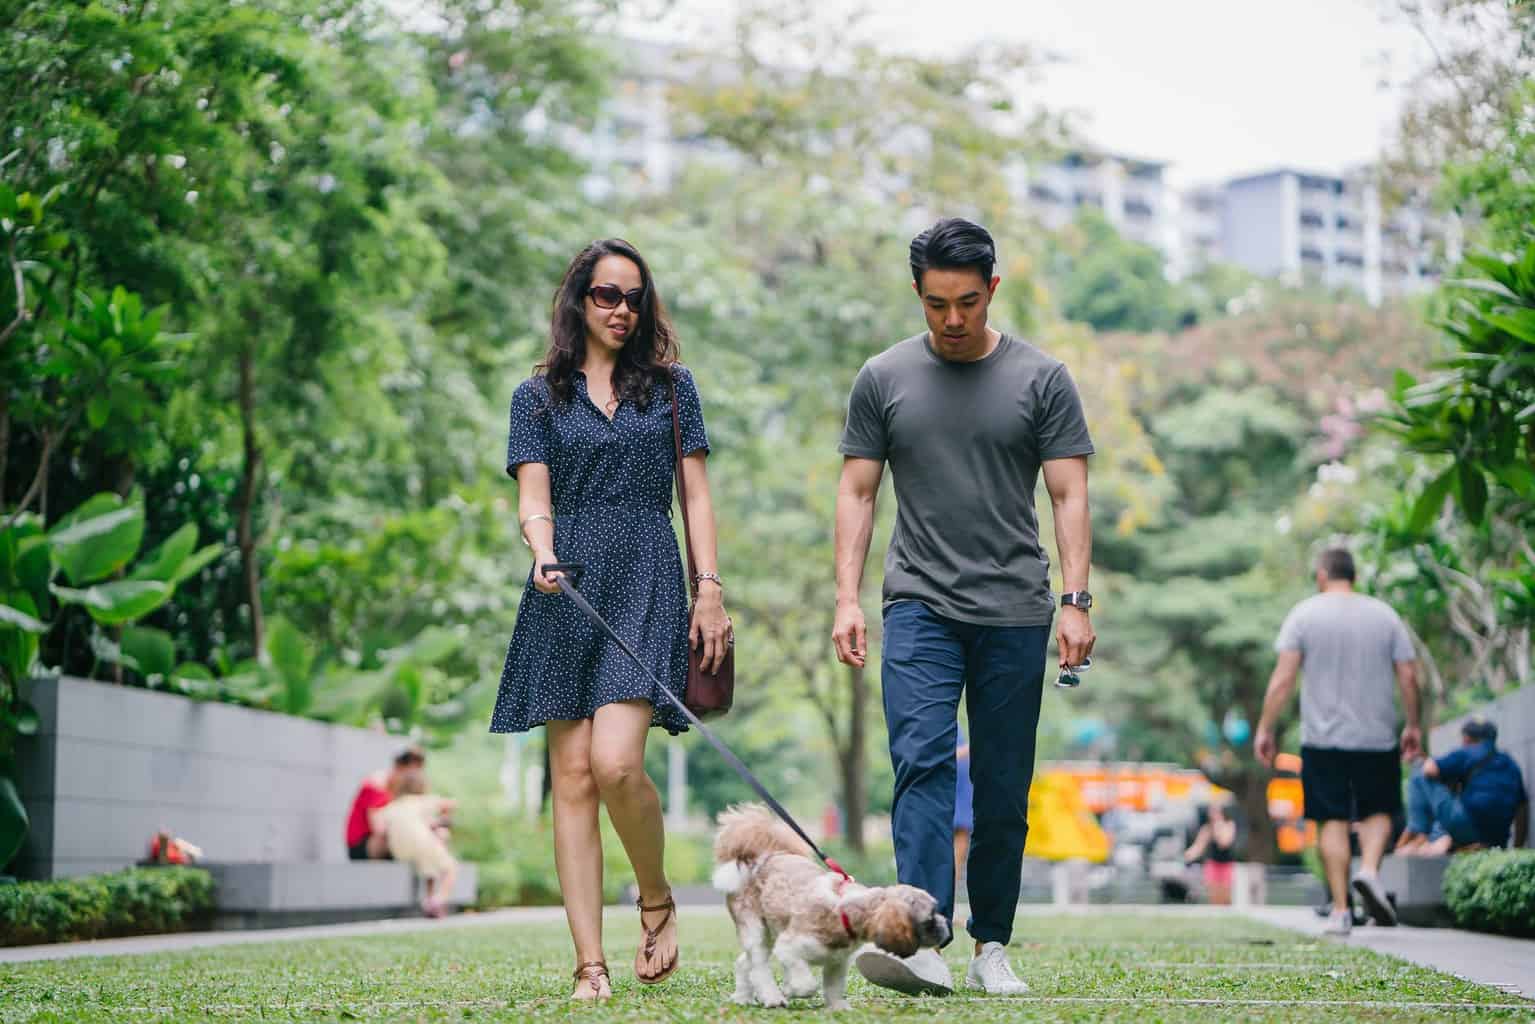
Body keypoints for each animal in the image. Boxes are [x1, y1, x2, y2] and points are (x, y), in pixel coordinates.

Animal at [715, 798, 951, 1007]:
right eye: (930, 918)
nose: (946, 927)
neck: (844, 909)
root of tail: (764, 857)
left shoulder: (836, 963)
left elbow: (833, 988)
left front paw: (838, 1007)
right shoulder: (789, 947)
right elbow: (807, 984)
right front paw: (791, 989)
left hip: (769, 932)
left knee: (744, 963)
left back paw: (742, 997)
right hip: (755, 930)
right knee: (758, 967)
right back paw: (773, 997)